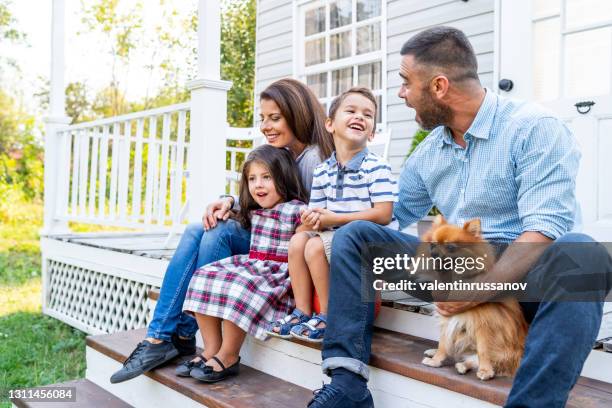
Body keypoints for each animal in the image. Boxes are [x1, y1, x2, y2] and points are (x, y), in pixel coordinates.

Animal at [418, 215, 528, 380]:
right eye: (432, 245)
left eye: (451, 247)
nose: (434, 254)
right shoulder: (447, 319)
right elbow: (443, 344)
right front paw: (436, 361)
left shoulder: (484, 325)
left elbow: (483, 351)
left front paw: (486, 371)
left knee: (477, 359)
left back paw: (465, 366)